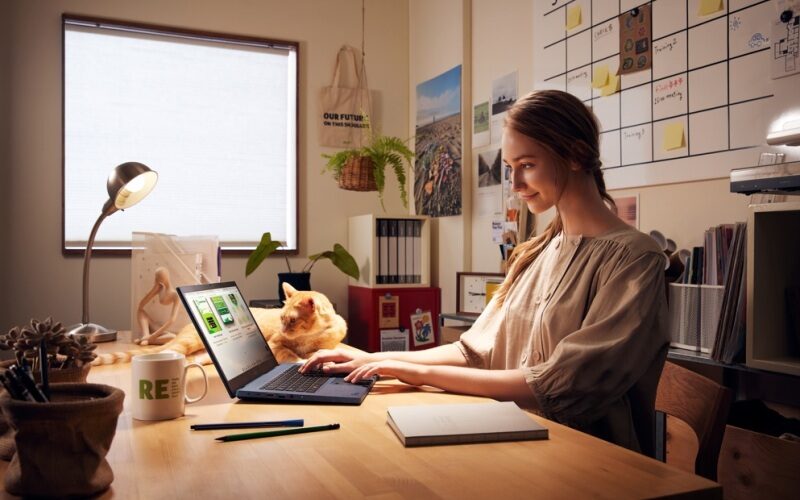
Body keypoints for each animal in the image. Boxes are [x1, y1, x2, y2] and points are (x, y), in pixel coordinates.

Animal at [94, 284, 346, 366]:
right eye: (281, 319)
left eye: (292, 320)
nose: (282, 328)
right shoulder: (275, 345)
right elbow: (289, 354)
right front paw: (300, 360)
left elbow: (320, 352)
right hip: (184, 345)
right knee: (164, 354)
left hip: (201, 357)